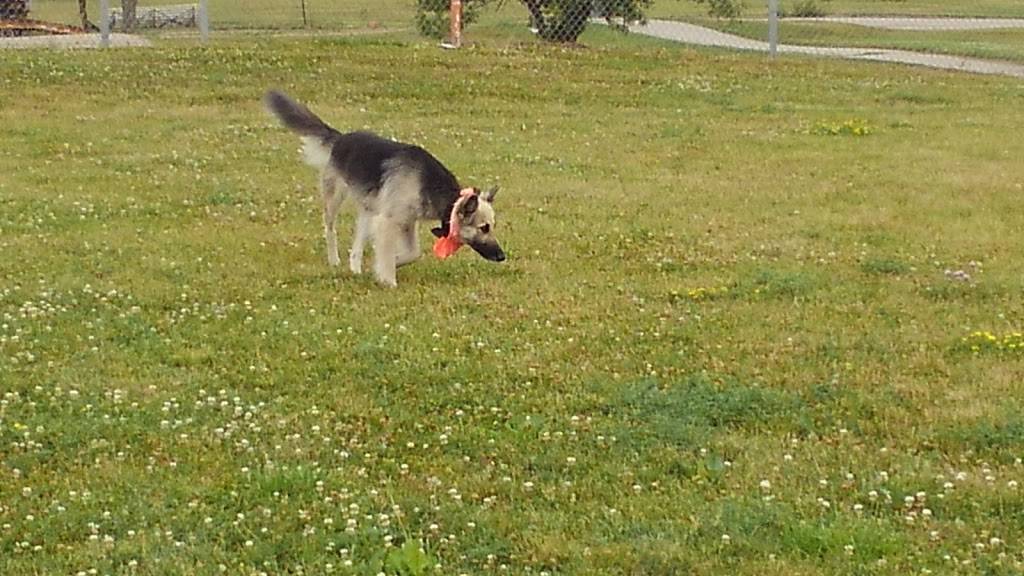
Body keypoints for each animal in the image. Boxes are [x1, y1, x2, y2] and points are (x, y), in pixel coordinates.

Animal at [262, 89, 505, 284]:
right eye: (484, 228)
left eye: (492, 226)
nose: (503, 256)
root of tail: (341, 138)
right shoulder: (389, 221)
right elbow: (388, 254)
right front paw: (388, 280)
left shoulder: (406, 222)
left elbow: (413, 253)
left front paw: (386, 266)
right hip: (335, 198)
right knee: (330, 229)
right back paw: (334, 260)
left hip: (368, 210)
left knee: (356, 247)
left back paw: (355, 269)